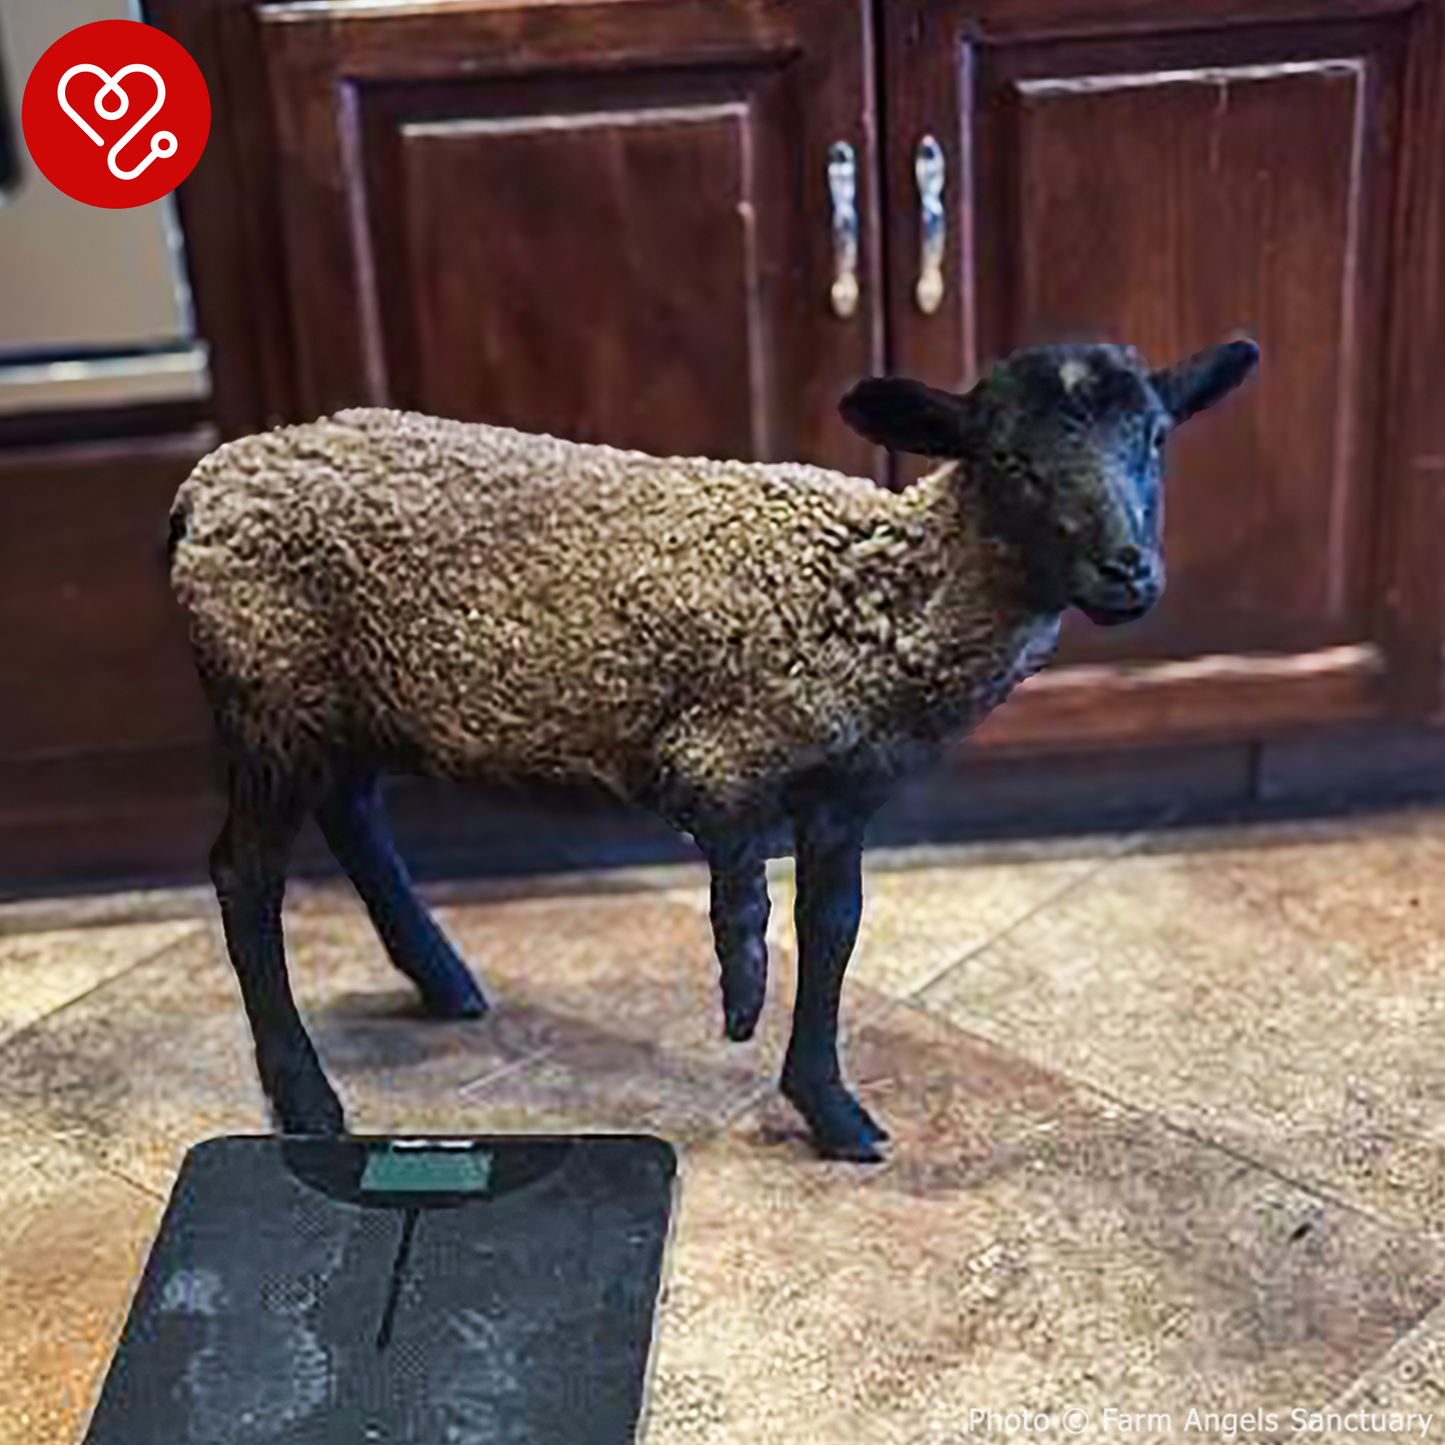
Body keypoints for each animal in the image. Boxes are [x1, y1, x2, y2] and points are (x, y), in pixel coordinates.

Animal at [168, 337, 1259, 1162]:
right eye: (1007, 460)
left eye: (1156, 440)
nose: (1128, 571)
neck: (882, 591)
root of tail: (205, 484)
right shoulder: (720, 754)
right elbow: (745, 884)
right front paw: (740, 990)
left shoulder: (843, 797)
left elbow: (834, 929)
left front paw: (830, 1109)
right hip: (267, 693)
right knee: (243, 875)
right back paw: (305, 1096)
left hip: (339, 702)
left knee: (353, 818)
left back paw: (443, 980)